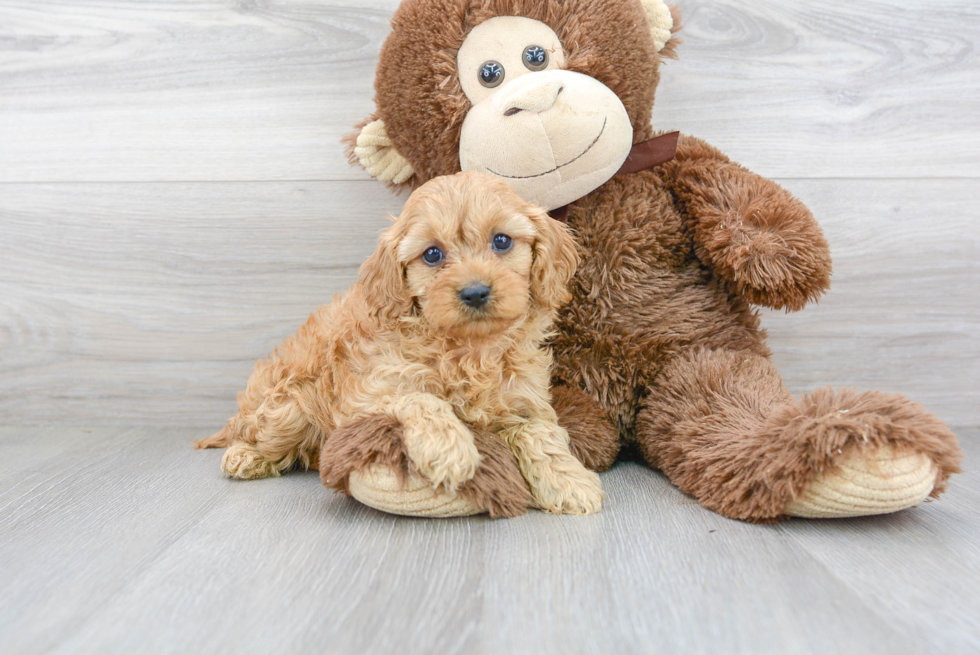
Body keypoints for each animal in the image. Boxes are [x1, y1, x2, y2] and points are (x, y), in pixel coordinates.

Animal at [195, 170, 600, 516]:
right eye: (432, 254)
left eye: (501, 241)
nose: (475, 292)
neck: (469, 348)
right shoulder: (369, 392)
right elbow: (421, 398)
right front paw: (449, 449)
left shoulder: (524, 399)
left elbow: (541, 434)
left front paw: (570, 482)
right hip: (288, 408)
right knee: (254, 434)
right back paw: (246, 457)